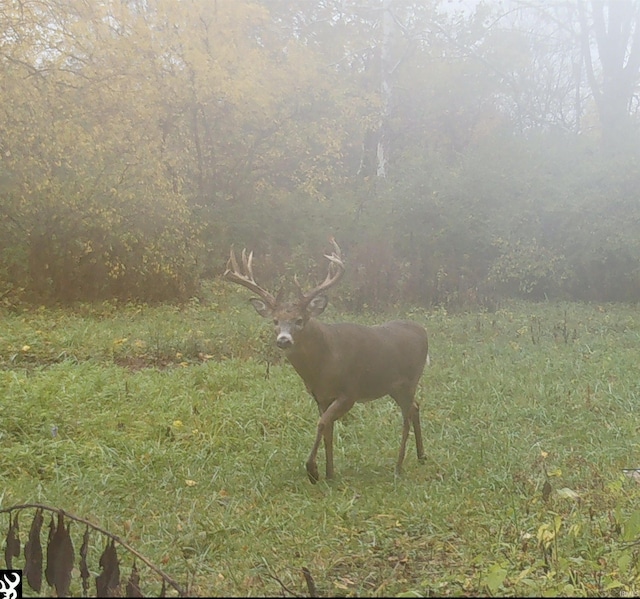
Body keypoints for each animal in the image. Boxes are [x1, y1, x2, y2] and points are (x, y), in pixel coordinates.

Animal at [225, 239, 430, 482]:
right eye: (275, 321)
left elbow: (322, 423)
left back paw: (398, 466)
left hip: (409, 380)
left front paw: (312, 470)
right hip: (395, 387)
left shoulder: (349, 391)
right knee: (415, 407)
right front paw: (329, 473)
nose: (283, 340)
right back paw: (421, 456)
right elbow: (328, 430)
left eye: (299, 320)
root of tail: (423, 331)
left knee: (407, 414)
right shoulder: (320, 397)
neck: (324, 365)